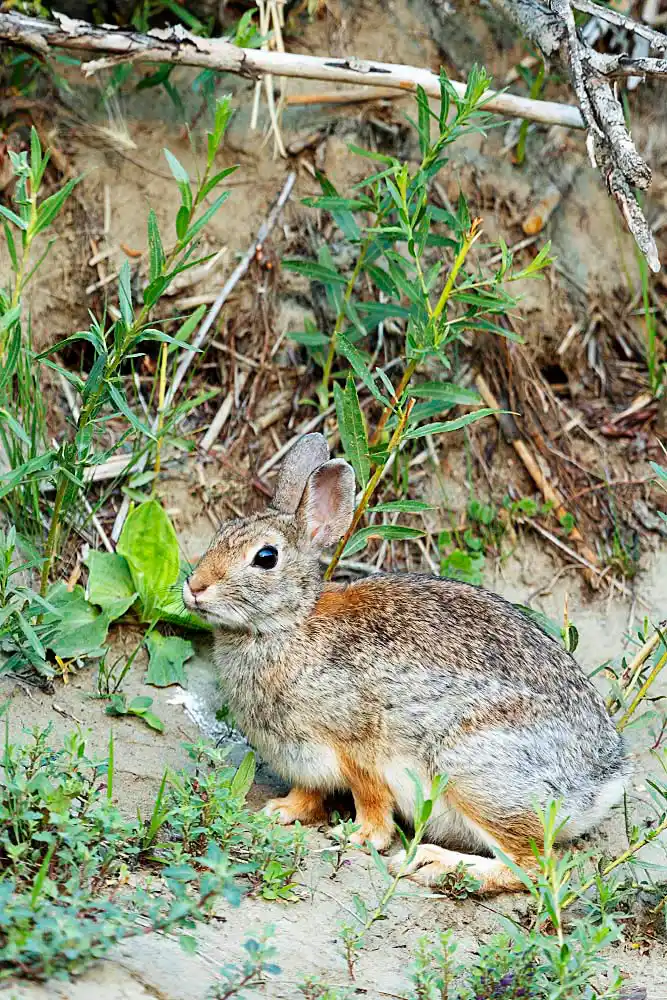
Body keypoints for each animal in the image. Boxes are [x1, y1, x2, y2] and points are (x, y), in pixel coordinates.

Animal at [183, 432, 629, 895]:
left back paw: (433, 864)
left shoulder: (360, 747)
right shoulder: (307, 764)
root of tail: (601, 779)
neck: (288, 624)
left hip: (474, 772)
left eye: (266, 557)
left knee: (534, 865)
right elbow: (309, 793)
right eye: (221, 532)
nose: (194, 586)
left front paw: (359, 836)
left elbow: (372, 801)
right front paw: (281, 810)